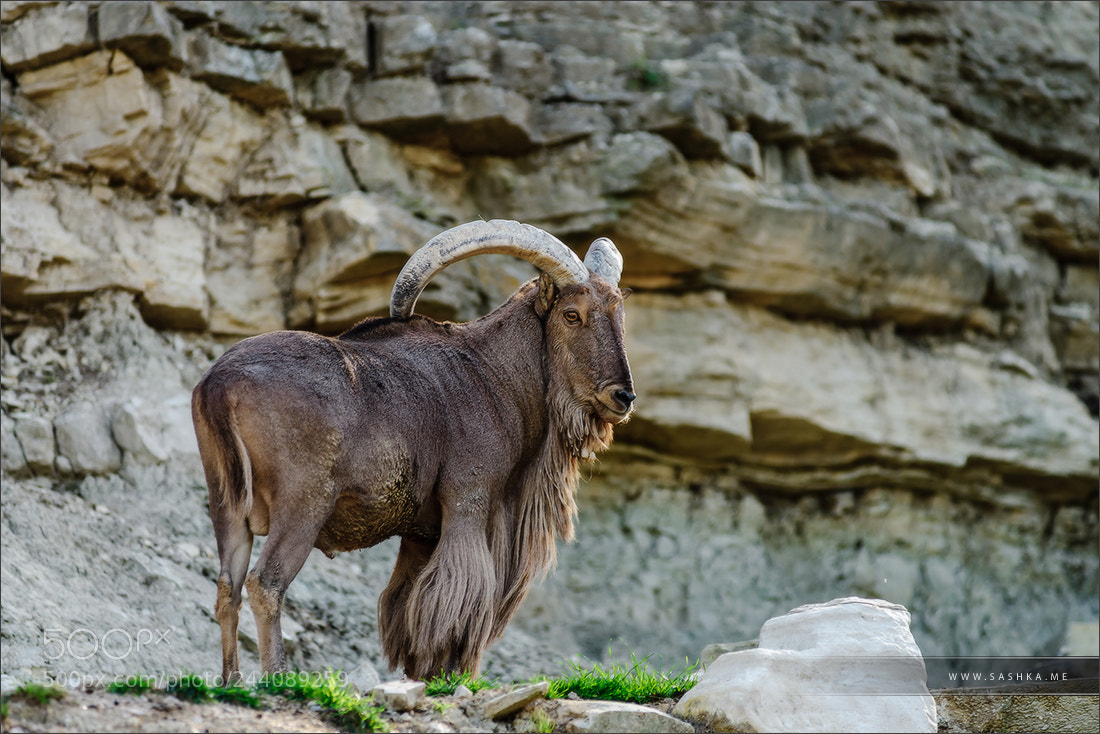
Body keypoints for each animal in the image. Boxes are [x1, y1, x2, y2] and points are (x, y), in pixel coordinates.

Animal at [192, 219, 635, 683]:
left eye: (618, 315)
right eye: (572, 314)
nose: (622, 396)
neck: (495, 376)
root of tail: (219, 386)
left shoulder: (420, 535)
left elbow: (409, 603)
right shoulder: (468, 504)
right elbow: (459, 594)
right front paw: (452, 676)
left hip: (226, 504)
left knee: (227, 587)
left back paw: (231, 681)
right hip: (303, 506)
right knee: (266, 585)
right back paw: (277, 677)